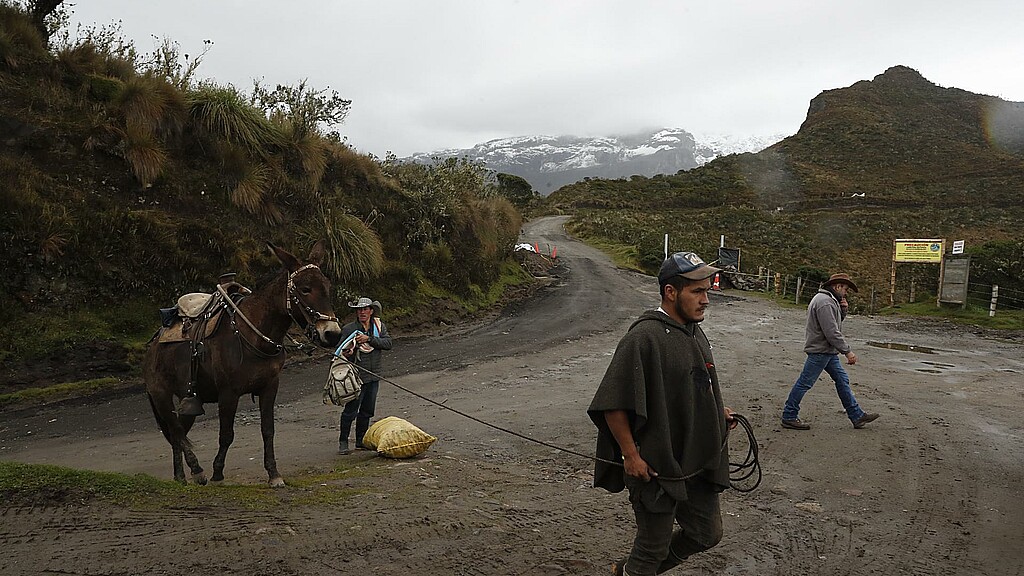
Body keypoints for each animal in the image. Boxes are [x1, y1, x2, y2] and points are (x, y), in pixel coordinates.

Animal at [143, 238, 339, 483]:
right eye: (305, 289)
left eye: (328, 287)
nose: (332, 333)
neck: (252, 335)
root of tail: (154, 342)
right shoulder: (229, 393)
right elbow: (226, 434)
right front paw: (217, 472)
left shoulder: (269, 387)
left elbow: (268, 430)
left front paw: (273, 474)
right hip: (161, 394)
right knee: (176, 430)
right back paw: (197, 470)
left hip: (186, 401)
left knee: (178, 433)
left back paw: (180, 477)